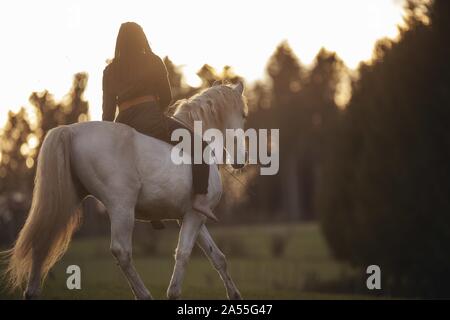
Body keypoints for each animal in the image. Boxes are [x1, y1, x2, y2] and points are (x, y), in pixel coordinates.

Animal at [3, 80, 248, 300]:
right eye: (244, 114)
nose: (242, 159)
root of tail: (70, 131)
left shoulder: (189, 216)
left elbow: (218, 257)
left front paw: (235, 295)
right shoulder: (194, 216)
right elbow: (184, 254)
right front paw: (174, 293)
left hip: (64, 202)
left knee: (42, 241)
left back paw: (32, 292)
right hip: (122, 208)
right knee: (122, 252)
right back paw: (144, 295)